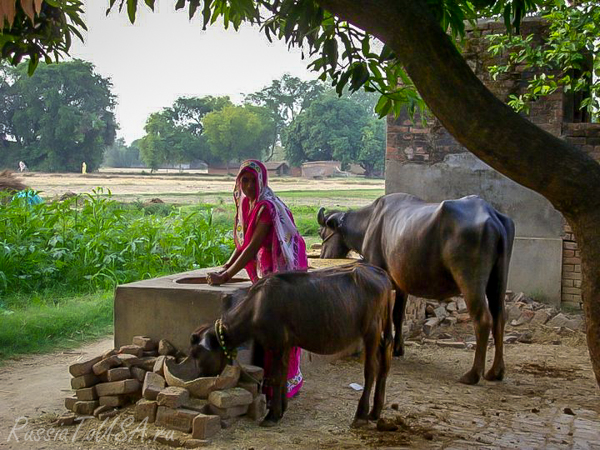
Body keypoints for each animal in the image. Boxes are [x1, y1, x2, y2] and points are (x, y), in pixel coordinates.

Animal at [191, 264, 394, 428]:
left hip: (372, 330)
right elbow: (283, 374)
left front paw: (272, 415)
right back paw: (375, 412)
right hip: (382, 330)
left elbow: (276, 377)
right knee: (385, 361)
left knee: (371, 369)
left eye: (197, 354)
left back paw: (361, 415)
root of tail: (381, 273)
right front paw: (281, 409)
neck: (256, 306)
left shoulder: (277, 343)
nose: (200, 376)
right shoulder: (286, 345)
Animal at [318, 192, 516, 384]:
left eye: (321, 233)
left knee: (483, 319)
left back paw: (473, 374)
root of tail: (492, 216)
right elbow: (398, 314)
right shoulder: (401, 284)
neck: (369, 222)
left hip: (470, 281)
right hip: (499, 278)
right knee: (500, 318)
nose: (322, 256)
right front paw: (397, 348)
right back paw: (496, 371)